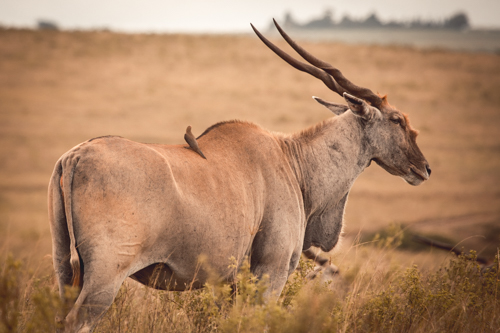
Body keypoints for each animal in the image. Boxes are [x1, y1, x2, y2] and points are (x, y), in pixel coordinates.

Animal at [47, 20, 430, 330]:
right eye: (397, 119)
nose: (424, 168)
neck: (295, 163)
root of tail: (74, 156)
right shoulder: (271, 272)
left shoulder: (226, 285)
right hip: (105, 275)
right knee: (77, 321)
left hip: (66, 269)